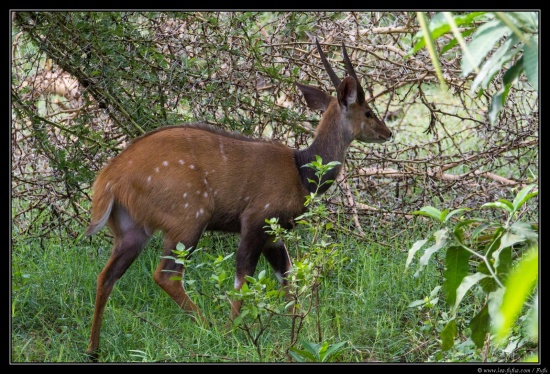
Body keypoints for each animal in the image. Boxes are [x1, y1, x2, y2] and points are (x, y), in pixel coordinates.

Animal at [84, 38, 392, 360]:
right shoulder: (256, 219)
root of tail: (109, 180)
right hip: (190, 218)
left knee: (106, 276)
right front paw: (236, 333)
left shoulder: (273, 234)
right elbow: (243, 278)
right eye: (368, 111)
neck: (302, 170)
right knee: (165, 274)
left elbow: (286, 276)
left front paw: (300, 331)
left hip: (132, 231)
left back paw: (93, 349)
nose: (388, 132)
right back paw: (209, 328)